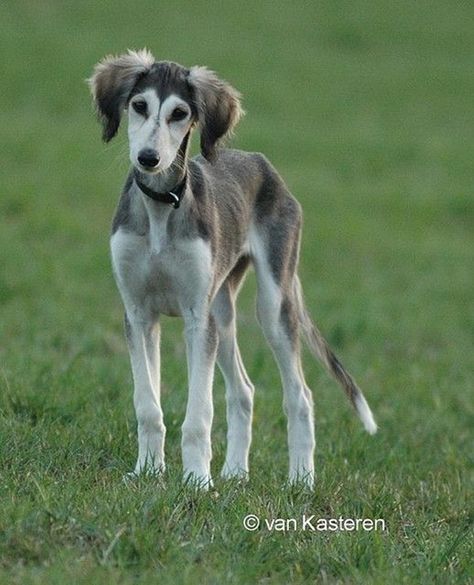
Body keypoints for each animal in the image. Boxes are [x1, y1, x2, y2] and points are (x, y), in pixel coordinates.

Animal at [90, 50, 378, 488]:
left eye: (179, 113)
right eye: (139, 106)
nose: (148, 159)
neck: (161, 208)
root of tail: (260, 161)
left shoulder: (196, 318)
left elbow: (198, 414)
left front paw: (196, 480)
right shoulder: (138, 315)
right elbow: (148, 406)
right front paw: (147, 471)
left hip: (271, 305)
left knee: (300, 395)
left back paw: (301, 480)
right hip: (222, 313)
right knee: (243, 390)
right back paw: (235, 473)